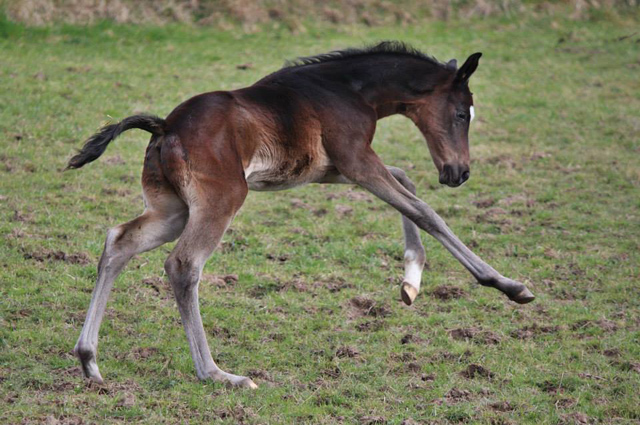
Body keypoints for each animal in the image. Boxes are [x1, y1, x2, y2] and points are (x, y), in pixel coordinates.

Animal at [67, 40, 532, 388]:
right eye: (461, 113)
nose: (459, 173)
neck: (349, 89)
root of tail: (165, 126)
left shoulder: (332, 168)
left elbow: (406, 184)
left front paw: (411, 282)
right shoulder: (356, 160)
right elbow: (423, 210)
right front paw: (507, 285)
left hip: (173, 210)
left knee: (120, 241)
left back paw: (89, 360)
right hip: (220, 201)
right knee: (183, 264)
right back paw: (216, 373)